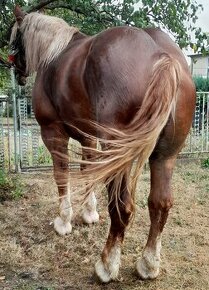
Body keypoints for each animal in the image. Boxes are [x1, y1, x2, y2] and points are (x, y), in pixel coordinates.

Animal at [10, 5, 195, 284]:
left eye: (13, 37)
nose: (16, 72)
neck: (54, 53)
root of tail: (162, 56)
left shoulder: (53, 132)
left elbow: (61, 175)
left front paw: (63, 221)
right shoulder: (88, 137)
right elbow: (88, 173)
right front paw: (89, 214)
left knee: (122, 206)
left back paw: (107, 265)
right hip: (165, 156)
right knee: (160, 203)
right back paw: (148, 264)